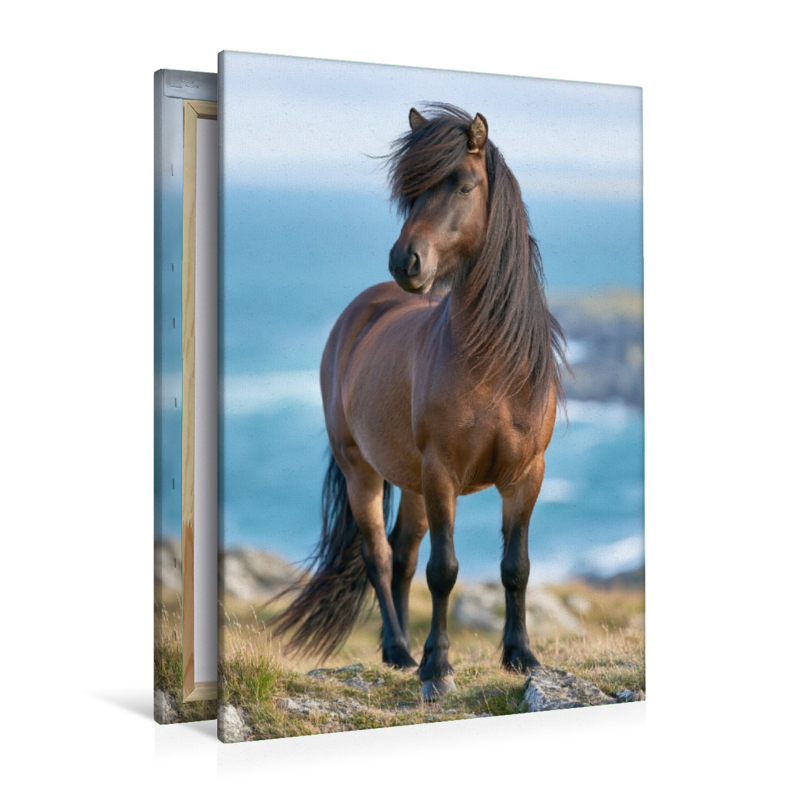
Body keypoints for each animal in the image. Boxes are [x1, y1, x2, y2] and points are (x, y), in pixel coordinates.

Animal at [273, 103, 566, 699]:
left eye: (465, 184)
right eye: (410, 194)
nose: (404, 262)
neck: (493, 364)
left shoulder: (526, 474)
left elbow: (516, 566)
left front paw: (520, 655)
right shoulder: (442, 474)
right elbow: (444, 570)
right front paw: (437, 666)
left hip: (407, 480)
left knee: (403, 553)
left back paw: (400, 650)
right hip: (363, 471)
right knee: (380, 557)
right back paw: (400, 650)